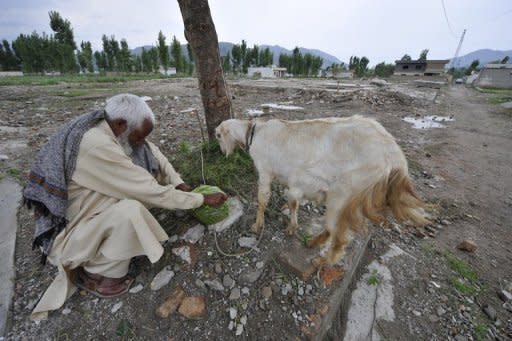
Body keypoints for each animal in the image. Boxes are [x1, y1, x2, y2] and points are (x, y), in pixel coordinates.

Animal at [216, 115, 428, 264]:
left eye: (218, 136)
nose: (222, 153)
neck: (254, 133)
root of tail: (393, 153)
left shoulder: (265, 171)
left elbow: (263, 199)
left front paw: (257, 225)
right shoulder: (294, 182)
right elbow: (293, 202)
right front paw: (291, 225)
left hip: (344, 194)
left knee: (338, 237)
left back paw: (324, 260)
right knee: (333, 229)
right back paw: (313, 243)